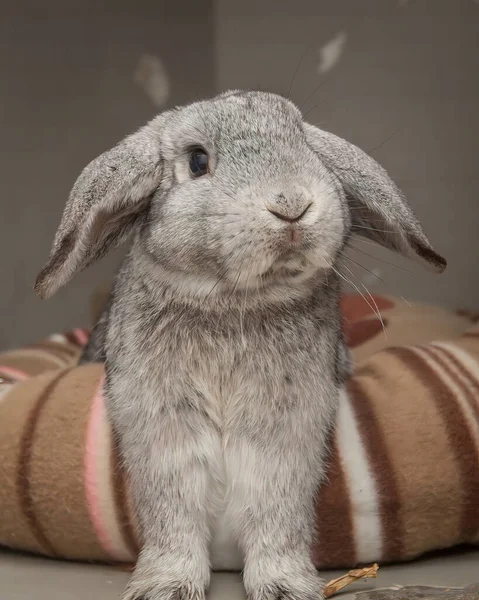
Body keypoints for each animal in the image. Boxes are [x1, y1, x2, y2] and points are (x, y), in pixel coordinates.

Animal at [33, 90, 446, 600]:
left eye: (303, 143)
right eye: (197, 160)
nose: (291, 203)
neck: (234, 302)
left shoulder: (289, 431)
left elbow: (277, 513)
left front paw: (286, 586)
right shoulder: (161, 428)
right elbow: (173, 517)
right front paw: (165, 587)